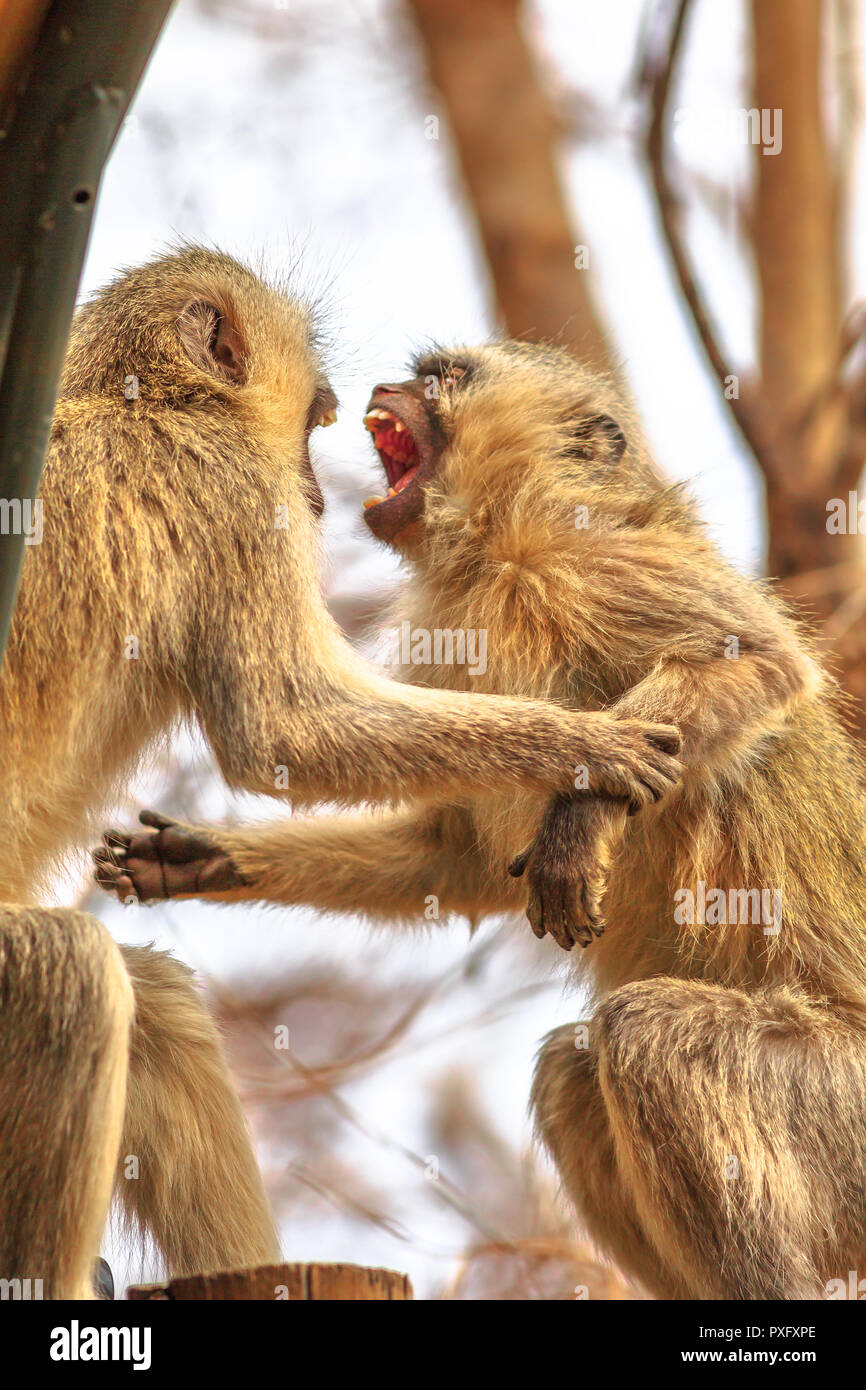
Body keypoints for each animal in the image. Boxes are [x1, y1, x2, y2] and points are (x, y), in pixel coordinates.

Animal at [0, 255, 681, 1299]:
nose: (347, 404)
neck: (141, 402)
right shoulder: (234, 492)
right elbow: (284, 728)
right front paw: (581, 743)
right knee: (67, 973)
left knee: (145, 1003)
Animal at [97, 337, 866, 1301]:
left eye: (447, 377)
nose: (387, 387)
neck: (497, 546)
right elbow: (454, 858)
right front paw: (205, 857)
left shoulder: (602, 561)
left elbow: (756, 663)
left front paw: (582, 815)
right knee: (574, 1072)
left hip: (842, 1109)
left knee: (648, 1038)